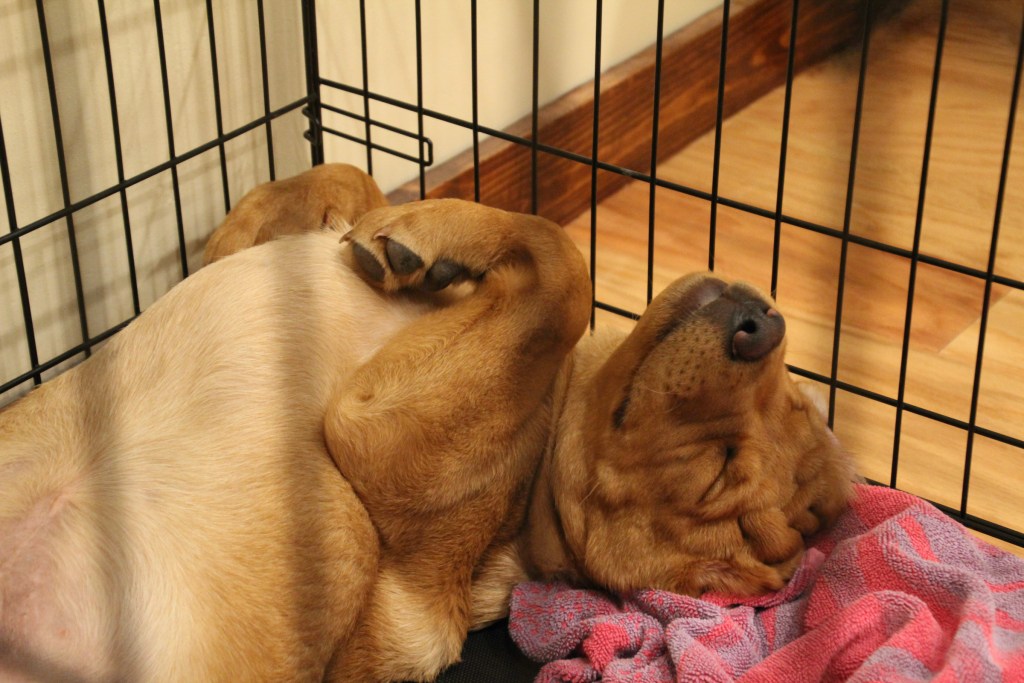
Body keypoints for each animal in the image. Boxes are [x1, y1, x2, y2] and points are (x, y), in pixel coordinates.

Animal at [0, 167, 851, 679]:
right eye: (793, 401)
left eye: (716, 472)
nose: (760, 326)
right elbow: (352, 183)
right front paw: (396, 221)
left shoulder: (379, 435)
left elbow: (564, 268)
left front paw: (431, 232)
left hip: (340, 524)